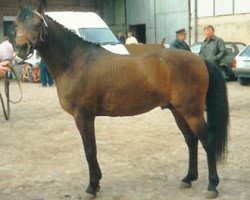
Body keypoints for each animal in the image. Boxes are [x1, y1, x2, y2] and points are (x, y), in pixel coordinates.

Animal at [15, 1, 229, 198]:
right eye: (16, 24)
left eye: (37, 24)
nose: (21, 48)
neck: (76, 61)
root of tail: (199, 59)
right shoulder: (86, 117)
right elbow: (91, 149)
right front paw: (96, 183)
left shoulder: (83, 116)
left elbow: (89, 150)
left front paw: (92, 187)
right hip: (178, 111)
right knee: (191, 140)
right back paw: (188, 178)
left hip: (191, 112)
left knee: (207, 141)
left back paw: (212, 185)